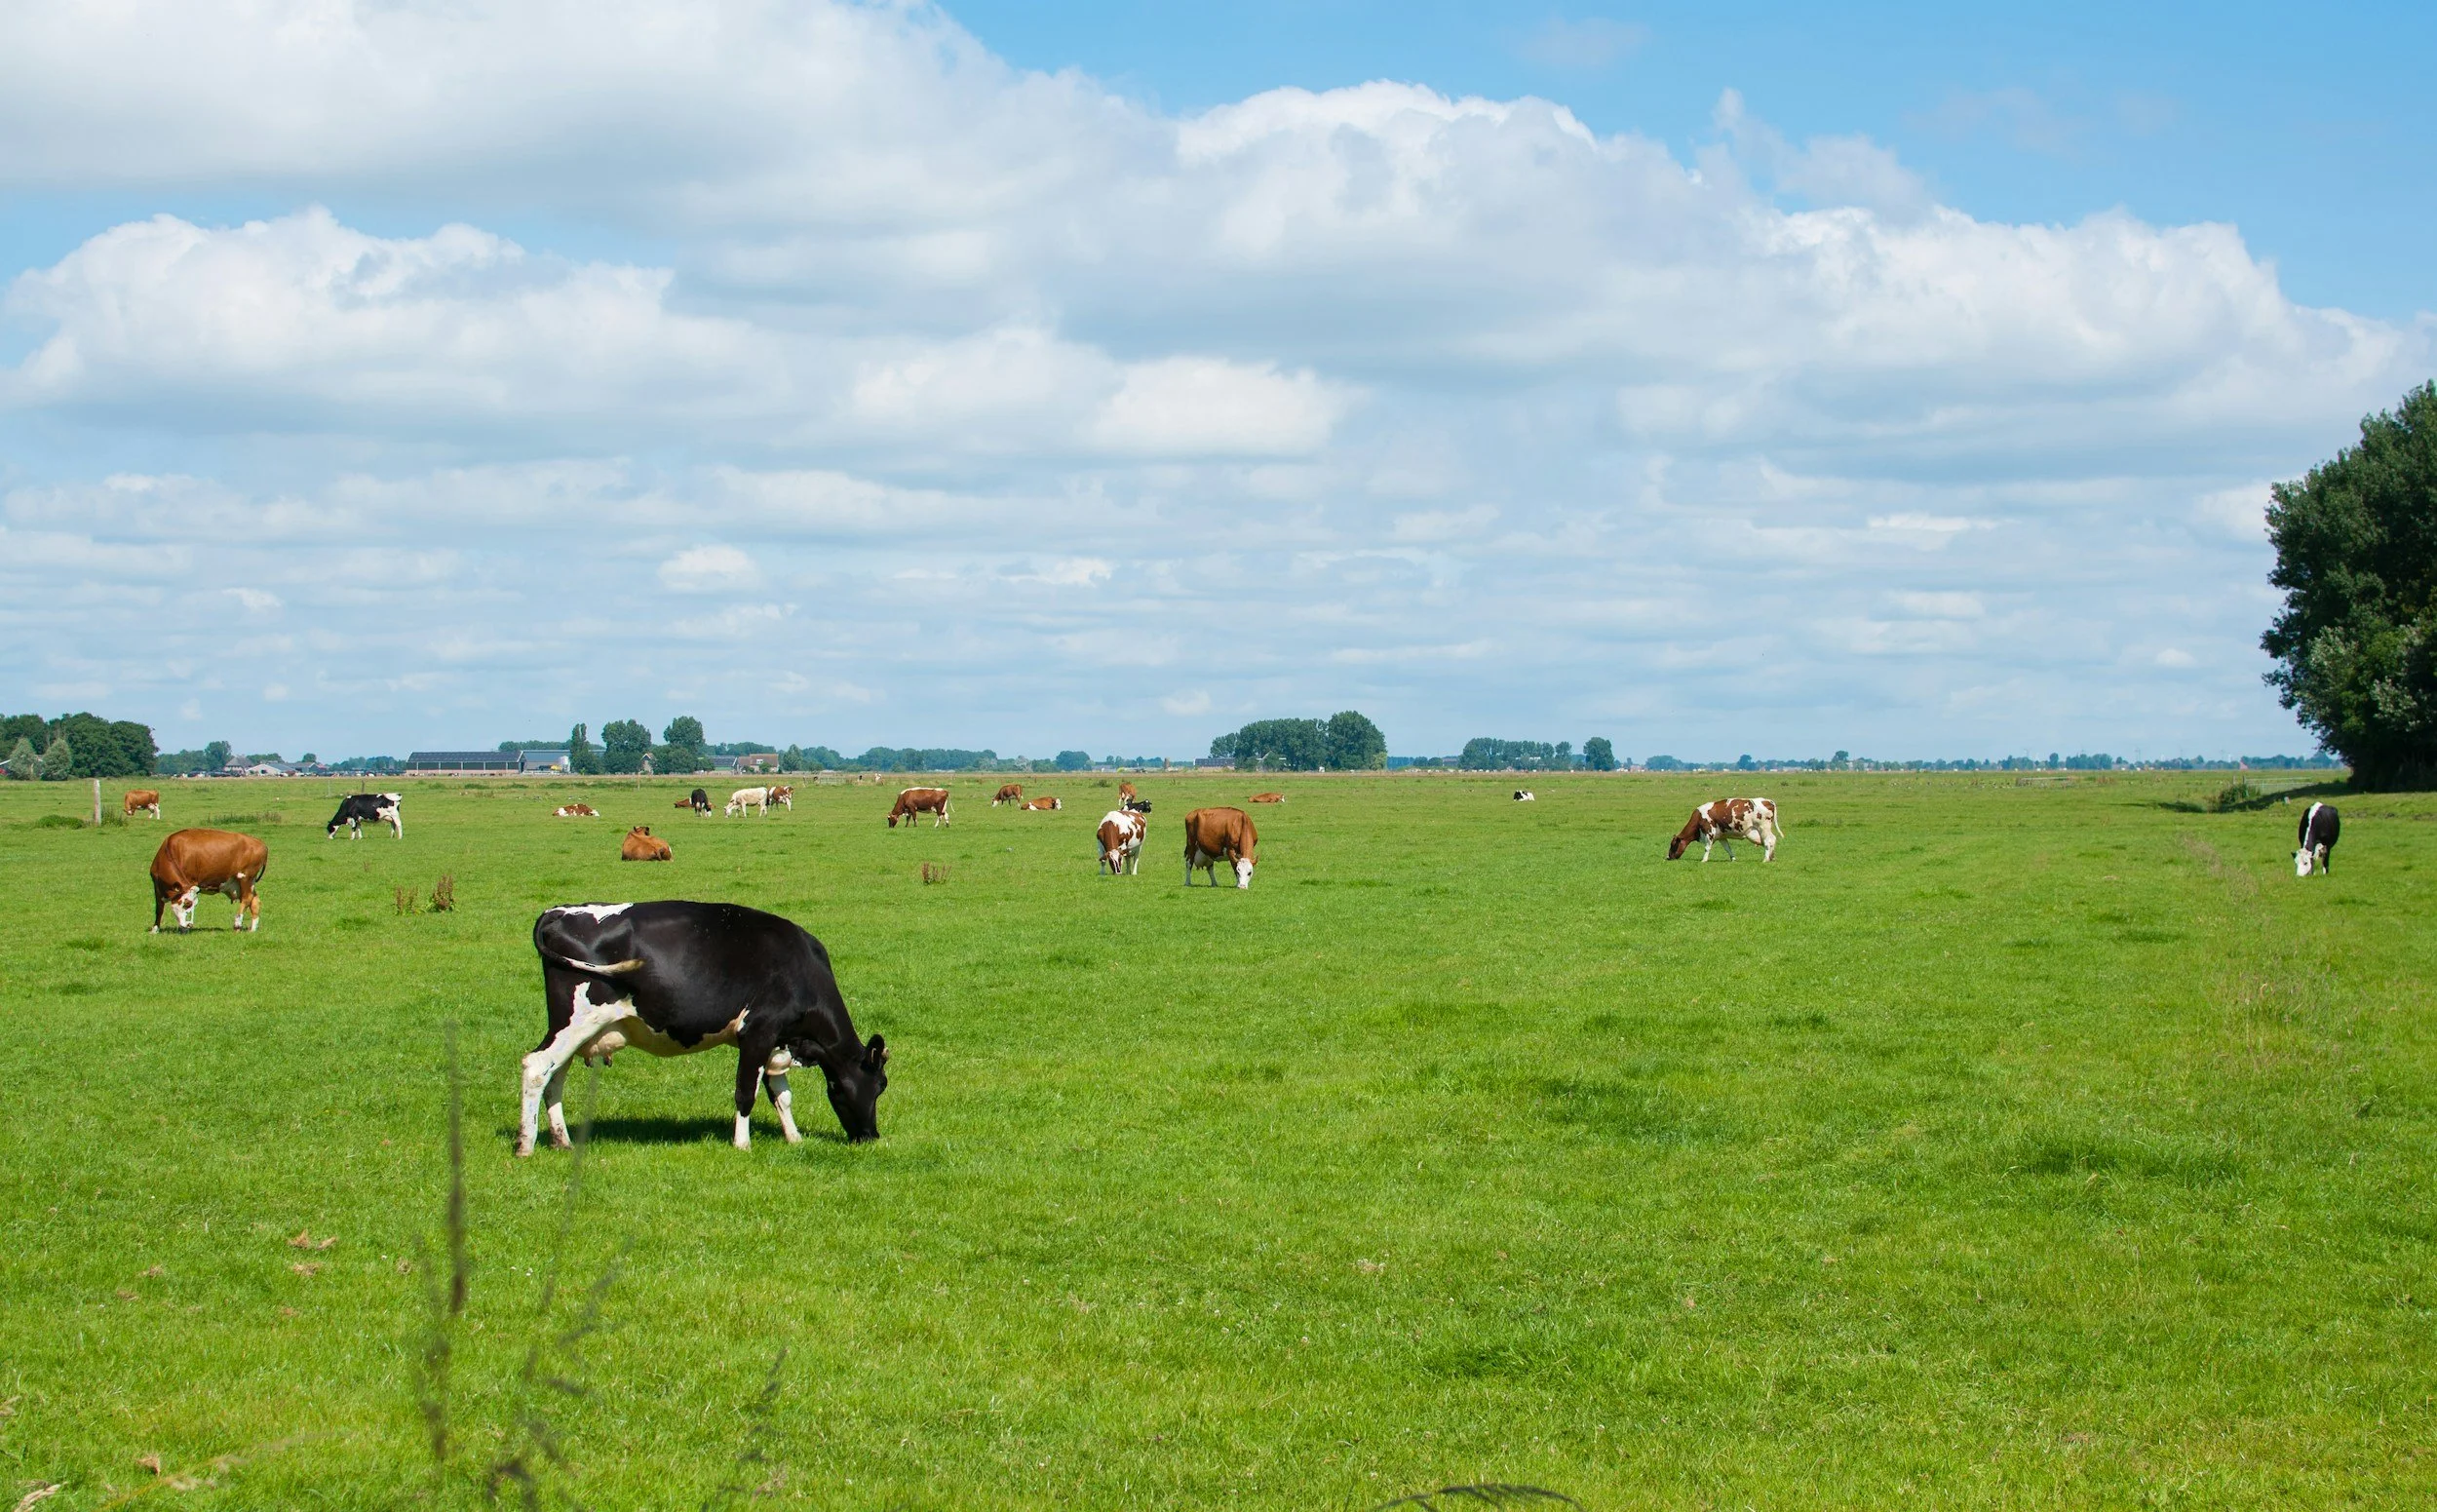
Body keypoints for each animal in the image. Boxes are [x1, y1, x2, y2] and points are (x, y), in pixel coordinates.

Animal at [517, 900, 888, 1156]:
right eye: (876, 1087)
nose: (870, 1137)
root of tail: (559, 911)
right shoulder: (758, 1033)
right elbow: (746, 1092)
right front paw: (742, 1144)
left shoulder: (778, 1041)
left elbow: (782, 1095)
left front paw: (794, 1138)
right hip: (576, 1021)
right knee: (537, 1068)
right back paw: (525, 1145)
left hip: (573, 1029)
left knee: (555, 1077)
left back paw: (562, 1141)